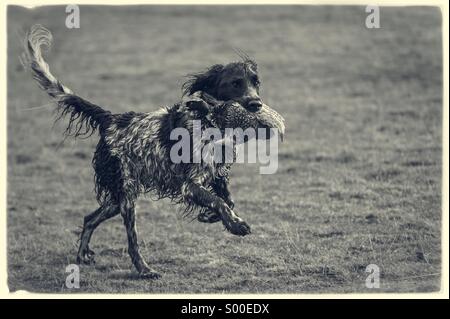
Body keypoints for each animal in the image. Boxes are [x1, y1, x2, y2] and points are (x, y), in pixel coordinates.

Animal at [22, 24, 284, 278]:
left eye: (255, 82)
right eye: (235, 83)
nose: (256, 104)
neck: (208, 120)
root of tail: (110, 119)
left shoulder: (217, 174)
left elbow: (227, 200)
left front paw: (210, 216)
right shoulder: (190, 185)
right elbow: (218, 201)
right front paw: (235, 224)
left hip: (117, 197)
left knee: (89, 219)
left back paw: (82, 254)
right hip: (126, 196)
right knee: (132, 242)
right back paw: (144, 270)